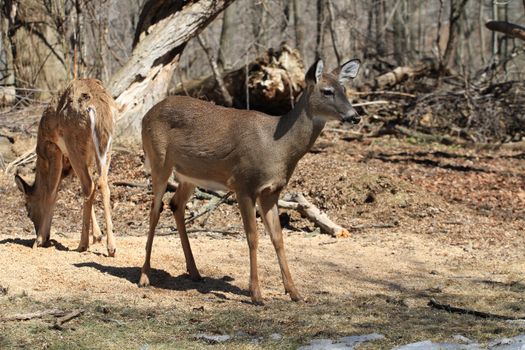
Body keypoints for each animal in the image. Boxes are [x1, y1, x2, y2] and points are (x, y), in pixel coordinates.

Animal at [15, 78, 116, 256]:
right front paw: (97, 236)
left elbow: (51, 192)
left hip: (74, 142)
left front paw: (38, 240)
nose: (41, 234)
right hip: (104, 145)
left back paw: (82, 244)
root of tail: (98, 107)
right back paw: (110, 247)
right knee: (101, 182)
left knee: (89, 185)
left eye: (28, 209)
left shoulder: (53, 148)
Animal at [139, 58, 360, 304]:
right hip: (159, 161)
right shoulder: (244, 184)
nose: (355, 116)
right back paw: (144, 276)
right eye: (327, 91)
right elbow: (252, 237)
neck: (278, 146)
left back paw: (195, 273)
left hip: (189, 175)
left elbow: (278, 238)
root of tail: (145, 116)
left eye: (344, 89)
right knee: (154, 209)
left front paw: (294, 292)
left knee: (175, 205)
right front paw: (256, 294)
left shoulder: (271, 192)